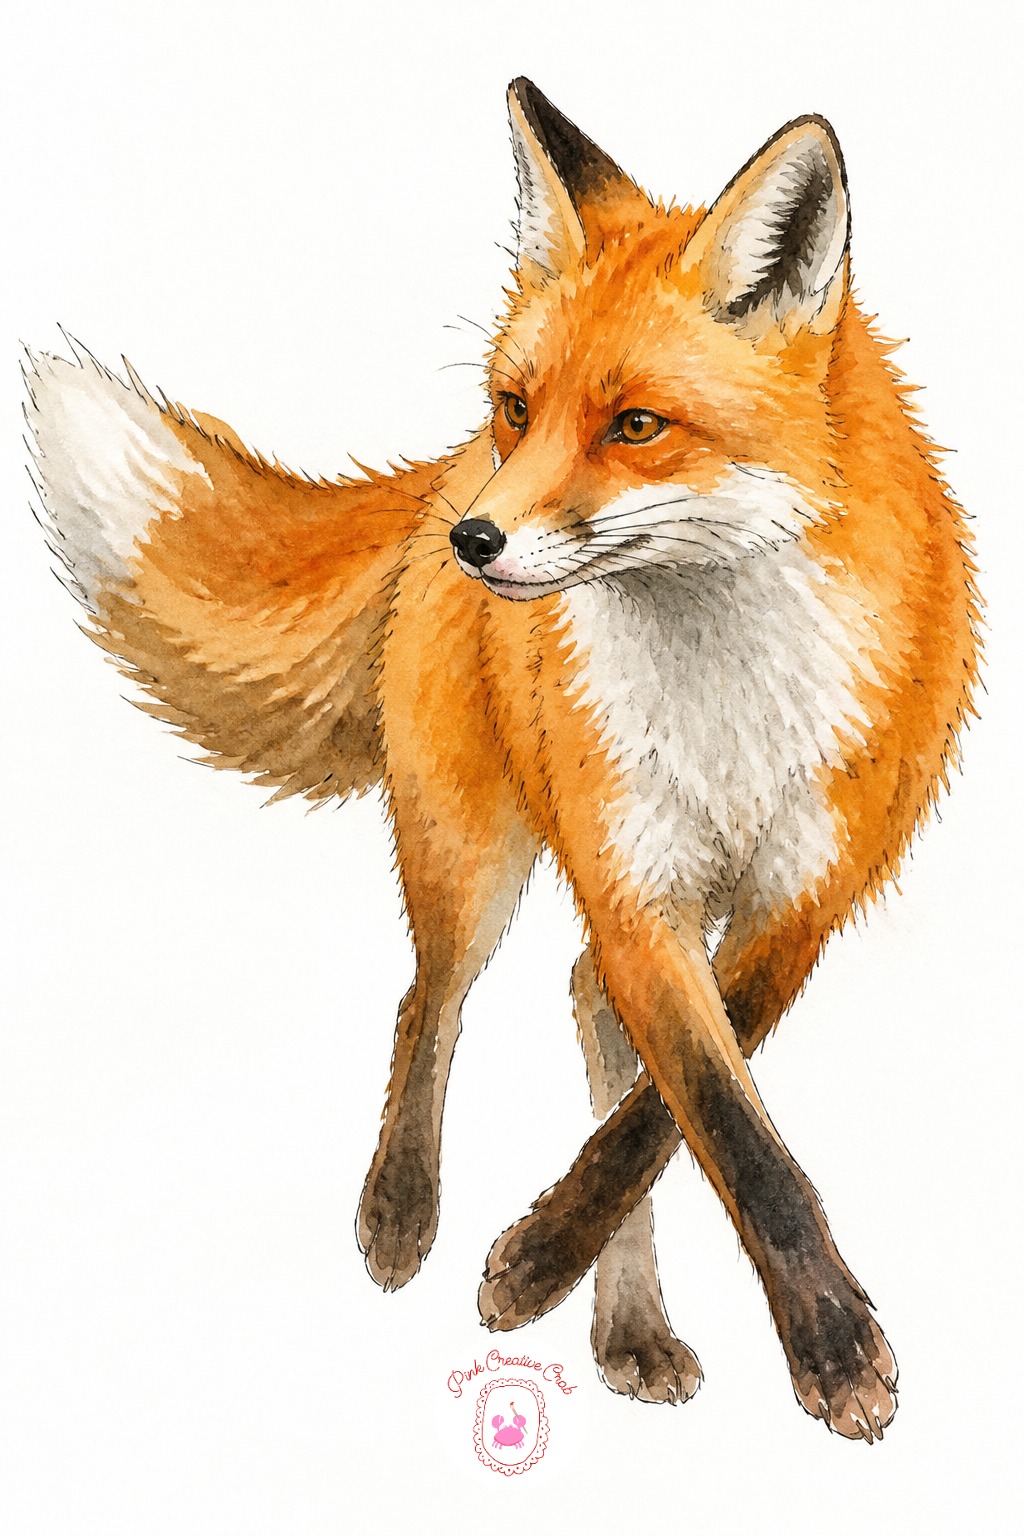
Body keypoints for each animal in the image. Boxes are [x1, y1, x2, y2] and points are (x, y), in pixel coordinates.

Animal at [24, 78, 979, 1444]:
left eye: (636, 426)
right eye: (521, 408)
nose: (477, 543)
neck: (727, 693)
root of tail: (438, 476)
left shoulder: (802, 901)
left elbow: (670, 1118)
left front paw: (556, 1259)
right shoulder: (634, 885)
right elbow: (729, 1129)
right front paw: (829, 1349)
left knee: (581, 1007)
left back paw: (624, 1324)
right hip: (470, 849)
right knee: (429, 1002)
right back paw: (400, 1212)